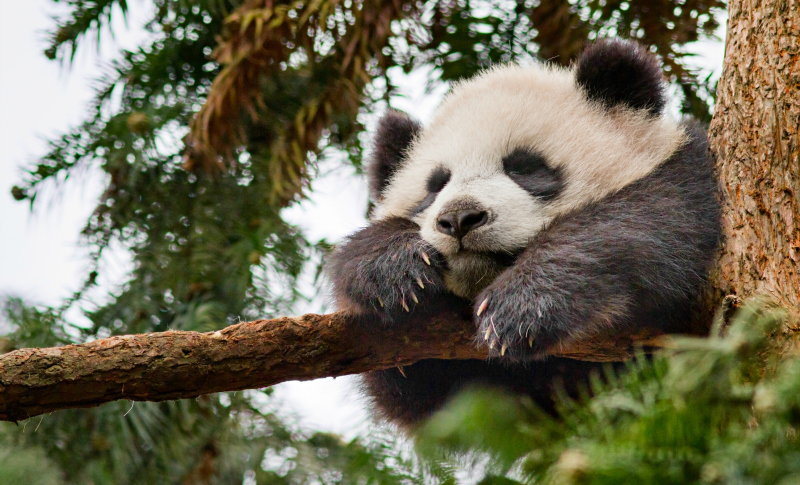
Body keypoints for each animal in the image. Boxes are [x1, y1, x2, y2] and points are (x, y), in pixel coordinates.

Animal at [324, 40, 720, 428]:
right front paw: (391, 265)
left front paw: (522, 307)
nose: (459, 218)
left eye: (524, 167)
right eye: (435, 186)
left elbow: (656, 220)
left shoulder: (692, 178)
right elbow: (416, 384)